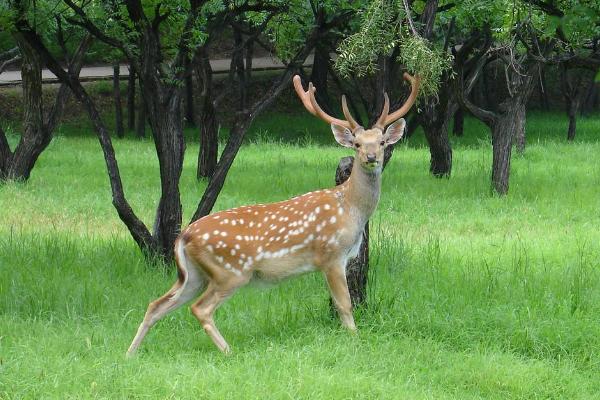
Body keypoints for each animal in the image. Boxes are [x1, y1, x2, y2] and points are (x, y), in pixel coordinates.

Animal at [126, 72, 420, 356]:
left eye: (382, 142)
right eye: (357, 144)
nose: (371, 157)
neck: (350, 209)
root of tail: (183, 237)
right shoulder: (331, 254)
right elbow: (344, 305)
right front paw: (355, 340)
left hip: (194, 275)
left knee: (156, 304)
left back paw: (130, 355)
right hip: (230, 271)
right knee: (200, 308)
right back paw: (228, 351)